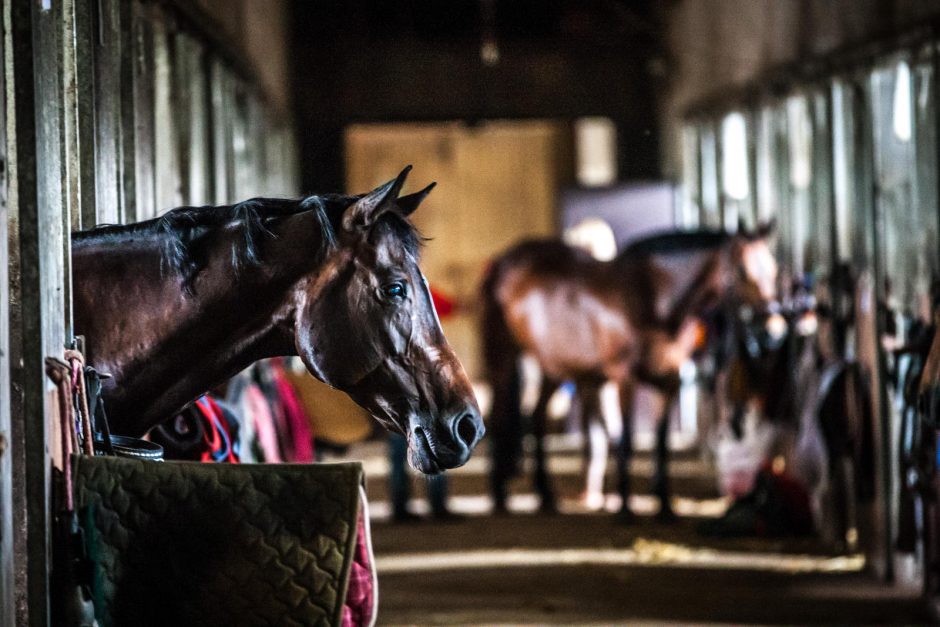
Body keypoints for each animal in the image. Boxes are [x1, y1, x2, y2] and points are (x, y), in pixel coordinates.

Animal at [482, 226, 776, 520]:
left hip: (554, 367)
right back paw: (500, 496)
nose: (772, 331)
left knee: (537, 417)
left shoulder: (669, 382)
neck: (653, 297)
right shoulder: (625, 378)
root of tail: (503, 262)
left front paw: (665, 506)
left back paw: (545, 496)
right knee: (499, 416)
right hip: (504, 356)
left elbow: (661, 443)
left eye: (772, 268)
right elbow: (626, 439)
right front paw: (625, 508)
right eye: (742, 271)